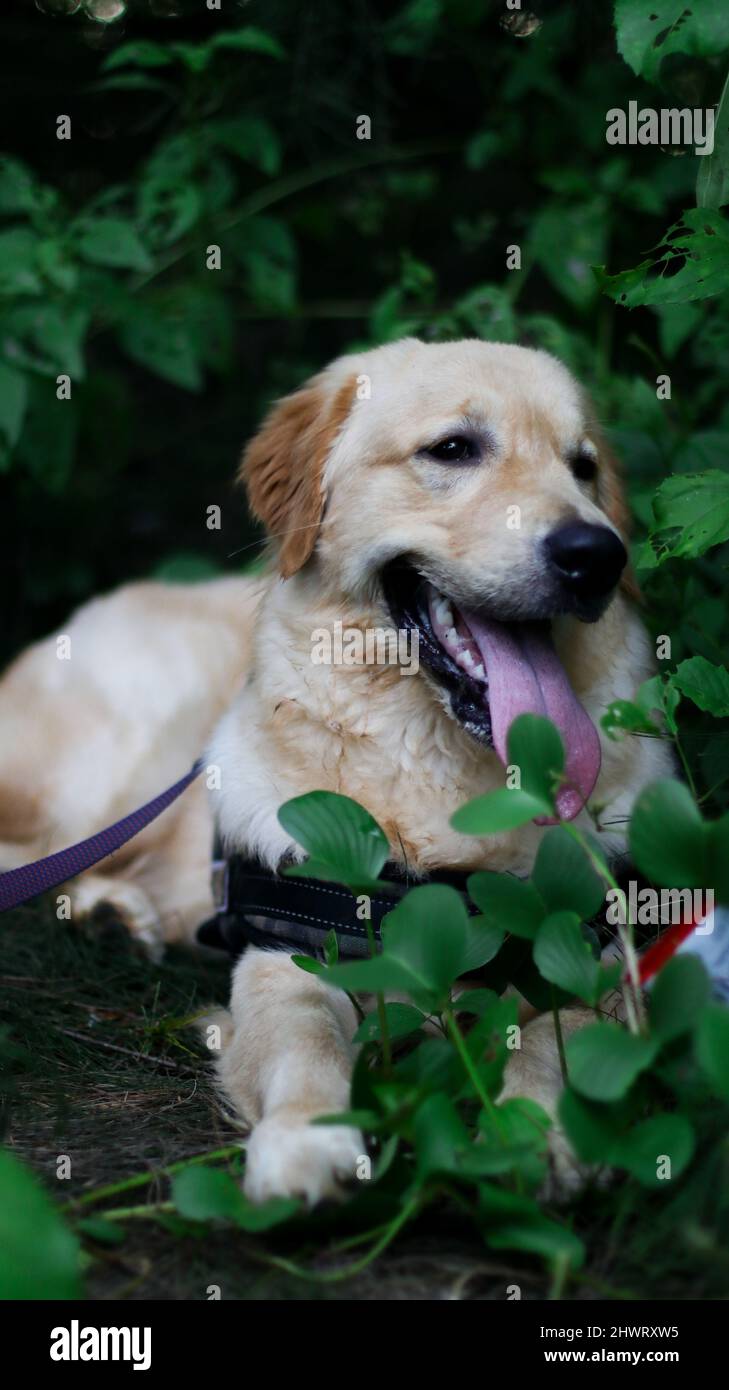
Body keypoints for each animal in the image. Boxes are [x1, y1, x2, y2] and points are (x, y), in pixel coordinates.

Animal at [0, 339, 673, 1206]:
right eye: (452, 448)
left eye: (582, 466)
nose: (596, 557)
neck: (442, 777)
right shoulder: (287, 959)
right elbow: (305, 1040)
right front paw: (305, 1140)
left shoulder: (589, 952)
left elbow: (562, 1037)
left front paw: (534, 1130)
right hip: (105, 773)